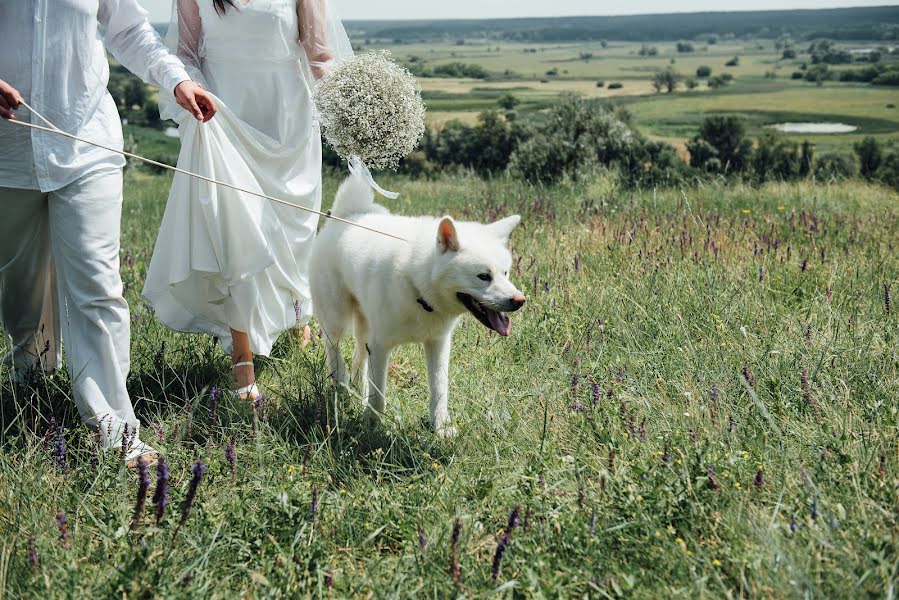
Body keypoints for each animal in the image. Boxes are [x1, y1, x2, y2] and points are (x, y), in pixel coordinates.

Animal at [308, 176, 524, 438]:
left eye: (506, 273)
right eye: (484, 276)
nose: (519, 300)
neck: (419, 288)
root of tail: (346, 215)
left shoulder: (438, 344)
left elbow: (439, 391)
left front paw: (440, 429)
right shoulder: (380, 346)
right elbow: (379, 395)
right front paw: (371, 429)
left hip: (365, 325)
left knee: (359, 357)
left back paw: (357, 394)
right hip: (336, 320)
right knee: (335, 353)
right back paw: (341, 387)